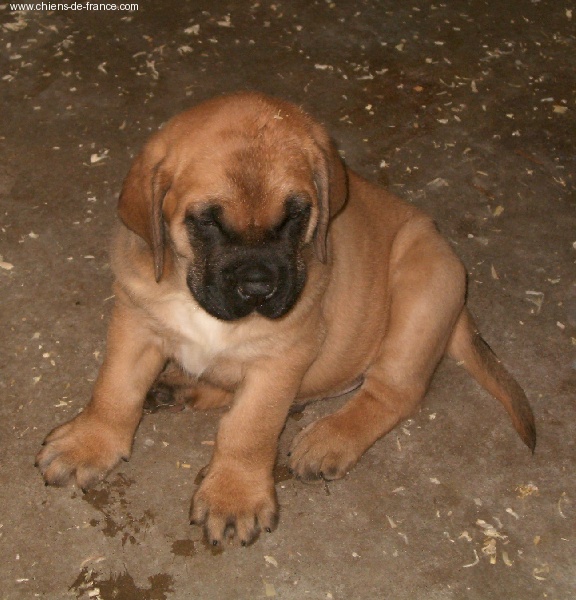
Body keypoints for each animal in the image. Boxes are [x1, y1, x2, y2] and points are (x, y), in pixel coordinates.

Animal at [37, 91, 536, 548]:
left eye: (296, 215)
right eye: (207, 222)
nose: (258, 287)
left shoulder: (281, 359)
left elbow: (249, 427)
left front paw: (233, 495)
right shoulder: (136, 321)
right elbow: (115, 388)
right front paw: (89, 442)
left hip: (422, 289)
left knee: (393, 393)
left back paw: (329, 437)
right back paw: (184, 385)